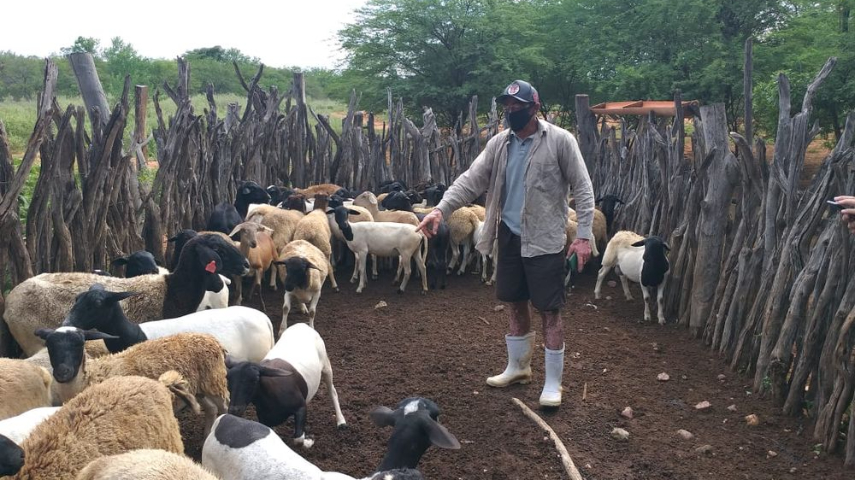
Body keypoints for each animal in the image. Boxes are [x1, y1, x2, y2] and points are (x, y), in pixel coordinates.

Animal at [36, 328, 229, 436]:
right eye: (50, 346)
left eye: (79, 344)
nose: (63, 372)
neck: (91, 375)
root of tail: (211, 339)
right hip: (199, 388)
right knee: (211, 409)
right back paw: (207, 434)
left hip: (214, 381)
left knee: (223, 406)